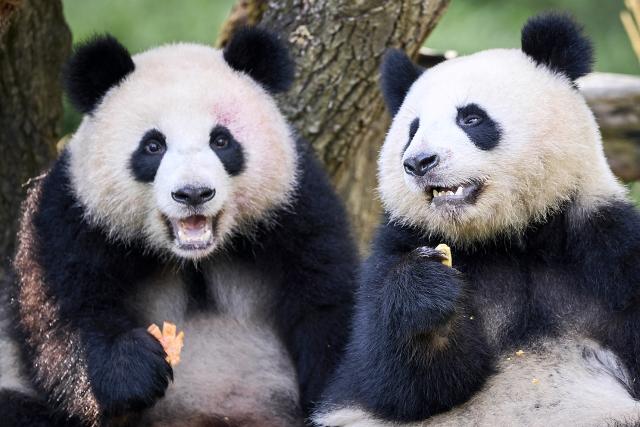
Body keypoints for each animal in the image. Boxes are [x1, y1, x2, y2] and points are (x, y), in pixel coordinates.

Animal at [0, 28, 358, 427]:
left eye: (221, 140)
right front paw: (132, 370)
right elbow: (65, 312)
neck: (194, 259)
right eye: (153, 146)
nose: (193, 193)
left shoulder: (296, 206)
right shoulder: (70, 216)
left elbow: (326, 303)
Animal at [313, 13, 640, 427]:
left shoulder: (609, 251)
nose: (419, 162)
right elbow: (390, 385)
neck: (511, 237)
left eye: (471, 118)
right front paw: (427, 290)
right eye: (412, 129)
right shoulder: (393, 249)